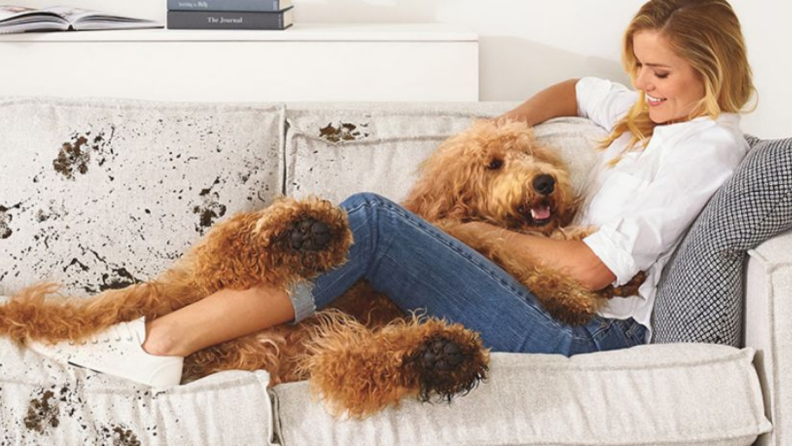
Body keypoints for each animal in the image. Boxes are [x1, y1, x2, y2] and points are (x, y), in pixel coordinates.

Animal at [0, 119, 636, 418]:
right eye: (495, 163)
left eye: (536, 155)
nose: (545, 182)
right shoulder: (476, 237)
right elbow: (521, 257)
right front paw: (568, 292)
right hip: (225, 289)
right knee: (229, 251)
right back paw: (302, 232)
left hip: (302, 347)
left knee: (355, 368)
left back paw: (435, 356)